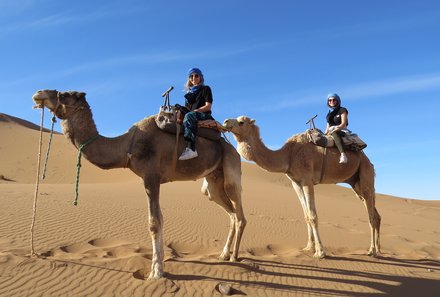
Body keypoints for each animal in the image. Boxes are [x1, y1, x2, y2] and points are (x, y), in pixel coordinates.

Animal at [33, 89, 248, 278]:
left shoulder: (151, 177)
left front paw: (156, 272)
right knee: (229, 212)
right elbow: (159, 219)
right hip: (213, 180)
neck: (127, 146)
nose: (39, 93)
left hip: (231, 166)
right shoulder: (148, 179)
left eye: (65, 94)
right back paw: (224, 254)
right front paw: (159, 265)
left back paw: (234, 257)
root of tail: (231, 147)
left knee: (239, 214)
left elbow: (154, 222)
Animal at [225, 114, 380, 258]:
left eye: (241, 122)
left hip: (365, 174)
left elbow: (312, 215)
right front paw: (308, 247)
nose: (225, 121)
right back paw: (378, 249)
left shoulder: (307, 180)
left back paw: (372, 250)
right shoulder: (296, 183)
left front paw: (320, 252)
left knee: (371, 217)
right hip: (356, 184)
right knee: (375, 214)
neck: (289, 155)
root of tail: (369, 161)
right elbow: (306, 215)